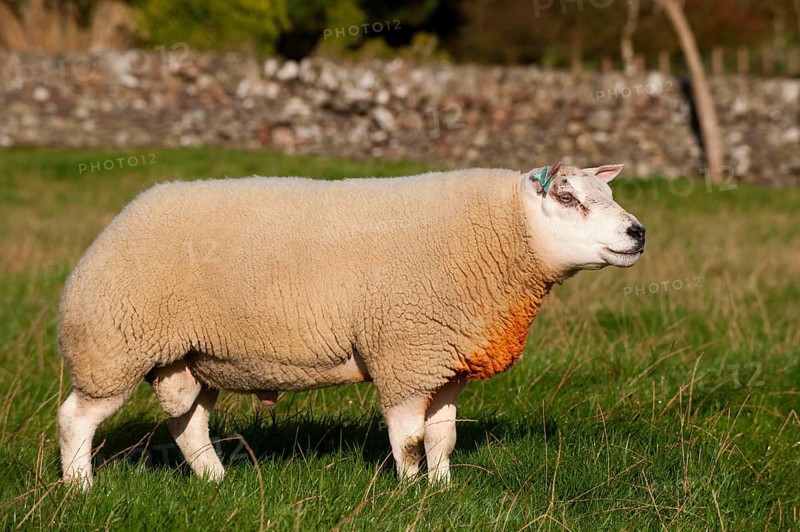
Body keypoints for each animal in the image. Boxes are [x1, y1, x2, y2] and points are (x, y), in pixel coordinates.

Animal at [57, 162, 645, 489]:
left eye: (609, 195)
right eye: (567, 197)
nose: (637, 233)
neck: (499, 238)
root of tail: (125, 215)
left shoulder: (443, 360)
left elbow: (444, 437)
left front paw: (443, 490)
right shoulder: (404, 353)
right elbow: (408, 439)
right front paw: (409, 492)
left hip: (188, 357)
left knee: (188, 424)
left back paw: (216, 480)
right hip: (114, 344)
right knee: (75, 418)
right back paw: (79, 488)